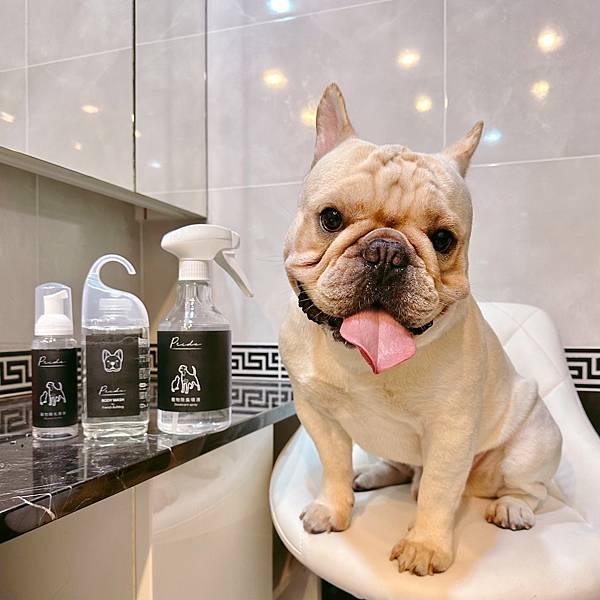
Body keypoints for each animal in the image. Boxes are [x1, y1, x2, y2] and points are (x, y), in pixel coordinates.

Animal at [279, 83, 562, 576]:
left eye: (443, 239)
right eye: (330, 218)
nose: (387, 252)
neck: (359, 361)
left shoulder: (451, 432)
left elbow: (438, 491)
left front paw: (426, 546)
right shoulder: (318, 415)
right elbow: (334, 466)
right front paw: (333, 509)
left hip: (534, 444)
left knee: (528, 488)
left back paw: (511, 507)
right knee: (403, 468)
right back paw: (374, 474)